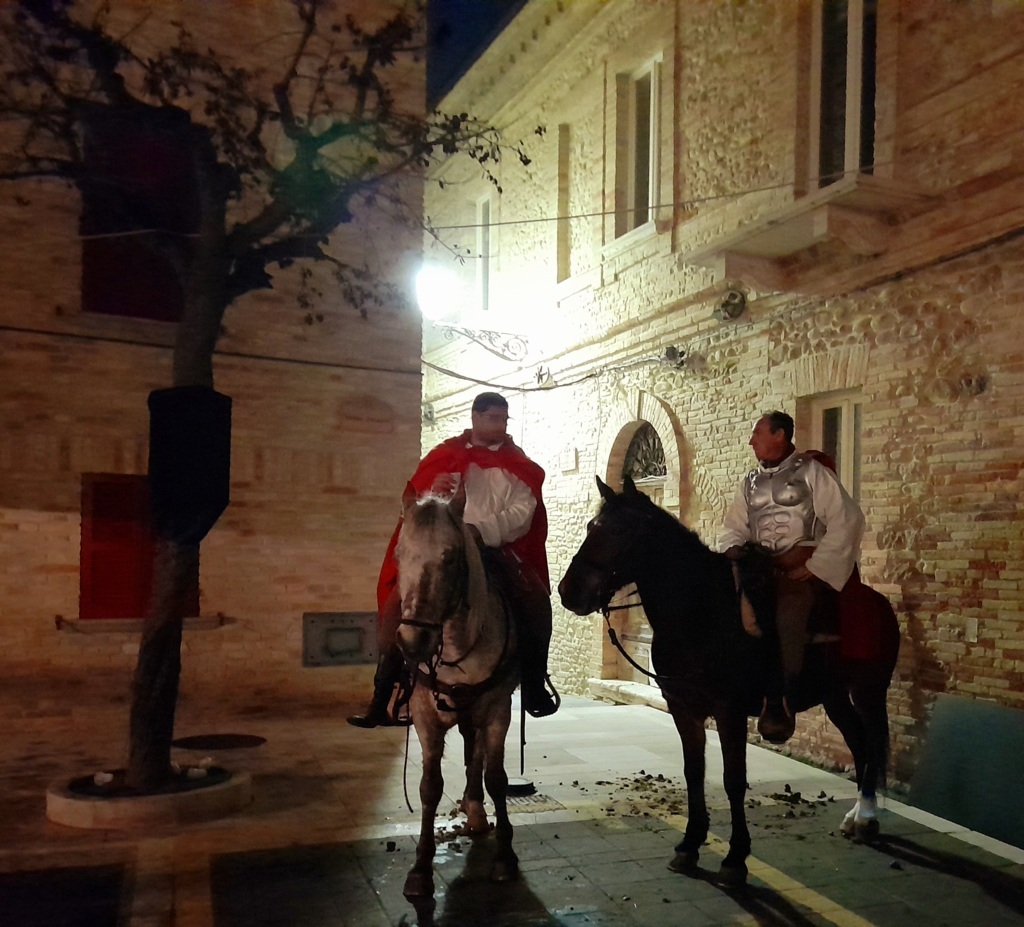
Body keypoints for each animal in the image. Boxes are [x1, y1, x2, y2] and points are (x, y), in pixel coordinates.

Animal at [393, 481, 521, 904]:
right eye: (400, 554)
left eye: (450, 557)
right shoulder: (425, 717)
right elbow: (429, 787)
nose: (412, 641)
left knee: (477, 755)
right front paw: (420, 868)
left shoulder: (498, 709)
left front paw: (505, 857)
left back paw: (478, 811)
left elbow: (496, 777)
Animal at [557, 475, 900, 886]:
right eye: (591, 527)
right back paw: (856, 817)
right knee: (860, 743)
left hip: (868, 691)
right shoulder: (683, 709)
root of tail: (876, 601)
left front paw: (736, 857)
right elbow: (694, 773)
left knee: (873, 742)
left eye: (619, 531)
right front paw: (690, 844)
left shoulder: (729, 713)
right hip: (834, 696)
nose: (568, 592)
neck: (700, 614)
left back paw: (867, 818)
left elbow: (733, 779)